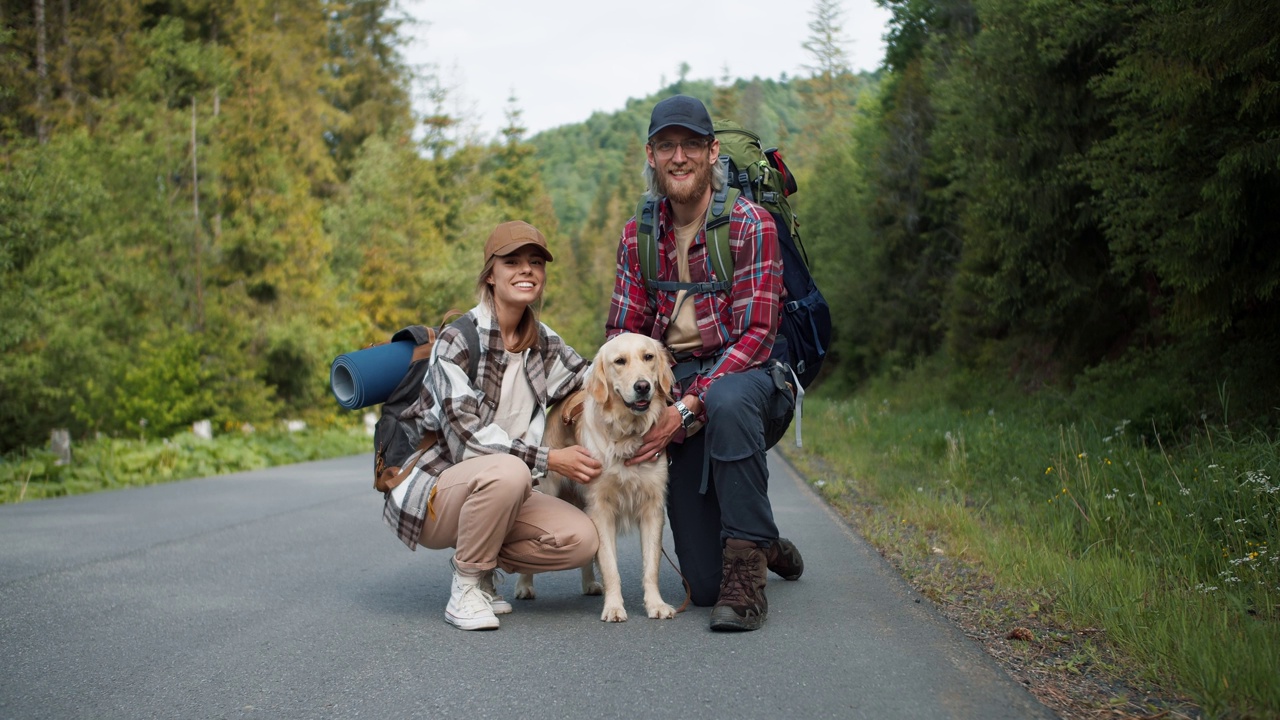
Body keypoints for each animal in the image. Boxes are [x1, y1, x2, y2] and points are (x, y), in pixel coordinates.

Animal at [514, 330, 680, 617]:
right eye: (619, 361)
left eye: (648, 357)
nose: (643, 386)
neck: (626, 434)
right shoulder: (601, 508)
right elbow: (610, 564)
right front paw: (614, 607)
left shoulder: (653, 507)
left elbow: (651, 565)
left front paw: (656, 605)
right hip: (549, 490)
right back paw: (524, 586)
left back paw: (590, 583)